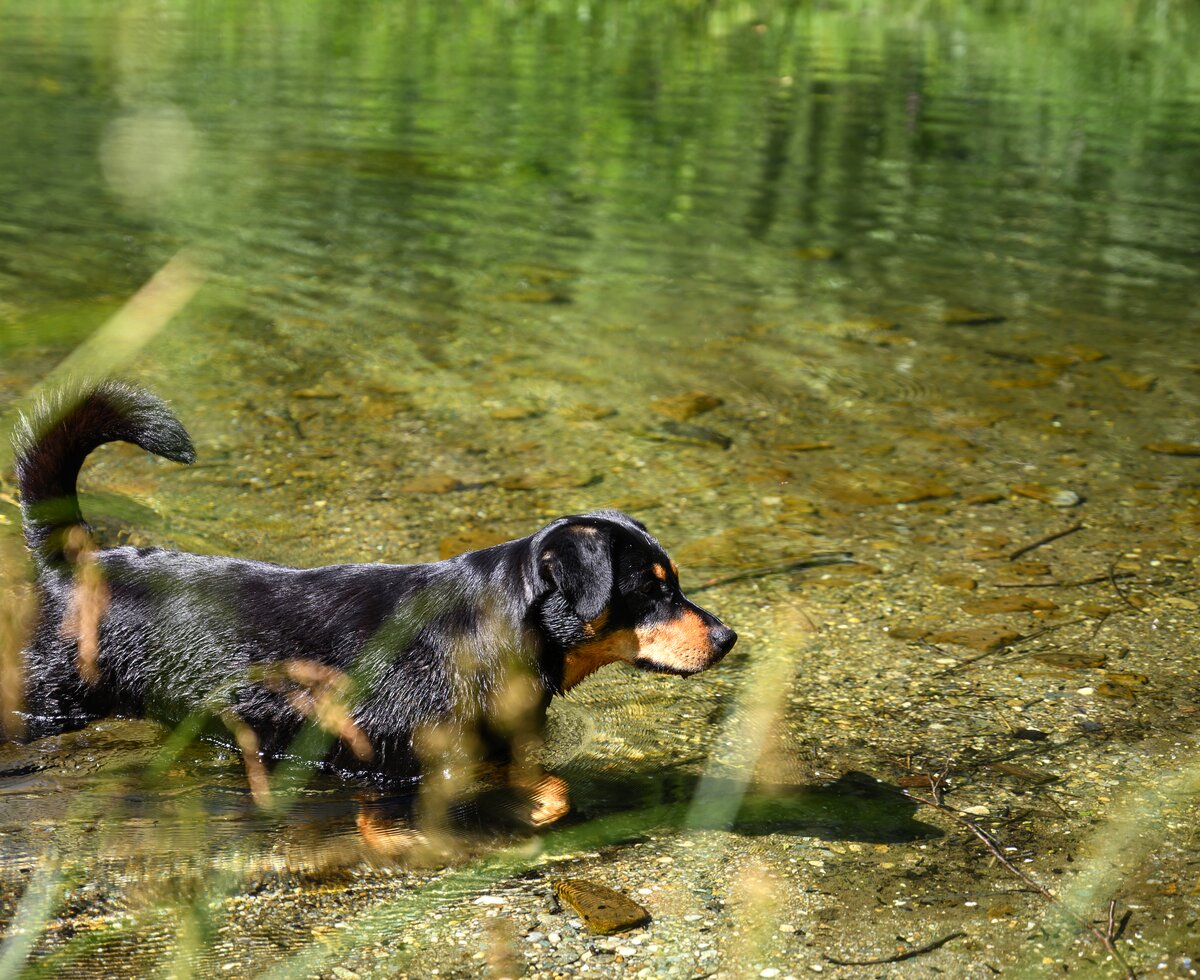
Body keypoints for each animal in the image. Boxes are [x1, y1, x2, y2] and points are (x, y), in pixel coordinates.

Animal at [11, 381, 729, 825]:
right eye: (653, 589)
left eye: (675, 582)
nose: (729, 637)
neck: (492, 630)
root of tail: (80, 562)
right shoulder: (390, 767)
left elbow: (546, 790)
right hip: (49, 699)